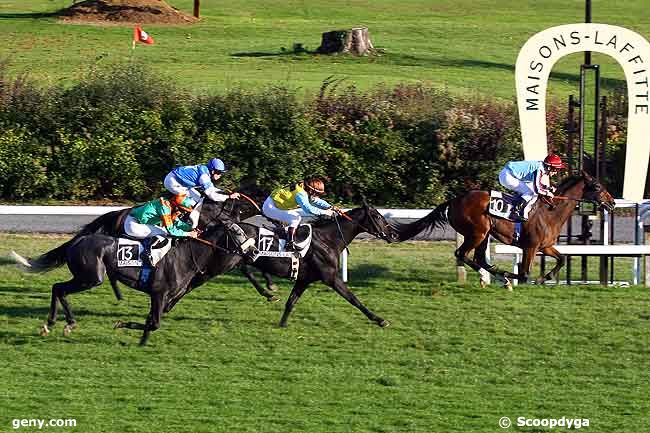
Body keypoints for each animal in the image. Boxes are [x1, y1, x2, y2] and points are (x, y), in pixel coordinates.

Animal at [390, 170, 612, 288]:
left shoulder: (545, 246)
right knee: (462, 253)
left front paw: (545, 277)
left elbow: (562, 259)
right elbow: (524, 273)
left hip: (484, 234)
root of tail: (454, 200)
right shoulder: (530, 247)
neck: (550, 212)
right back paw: (496, 276)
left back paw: (497, 276)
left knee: (478, 258)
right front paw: (524, 279)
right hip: (477, 232)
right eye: (598, 187)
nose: (611, 203)